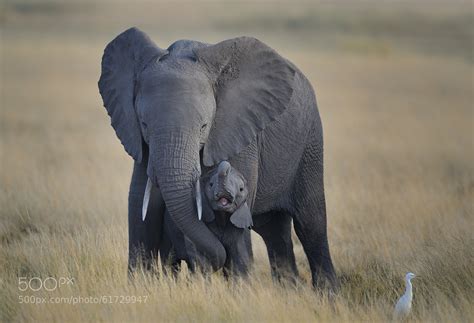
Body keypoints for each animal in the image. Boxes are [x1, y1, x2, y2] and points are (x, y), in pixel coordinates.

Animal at [99, 27, 336, 290]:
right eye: (144, 125)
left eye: (204, 126)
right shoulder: (142, 145)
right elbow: (140, 205)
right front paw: (140, 288)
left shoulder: (239, 129)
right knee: (275, 230)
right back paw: (288, 290)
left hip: (310, 143)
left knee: (310, 223)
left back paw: (328, 295)